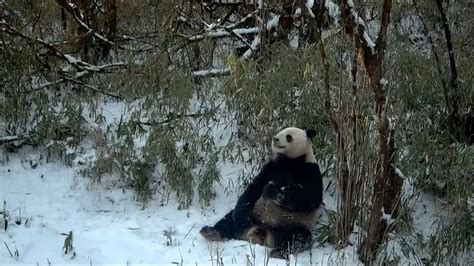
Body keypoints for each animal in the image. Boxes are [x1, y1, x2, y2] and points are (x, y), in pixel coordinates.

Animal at [198, 127, 324, 260]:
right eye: (280, 132)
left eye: (289, 136)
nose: (275, 138)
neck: (290, 160)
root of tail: (262, 230)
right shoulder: (271, 168)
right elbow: (253, 189)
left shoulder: (311, 170)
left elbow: (308, 198)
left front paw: (272, 190)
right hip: (253, 215)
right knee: (230, 220)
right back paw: (211, 232)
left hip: (291, 225)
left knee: (298, 237)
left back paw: (278, 252)